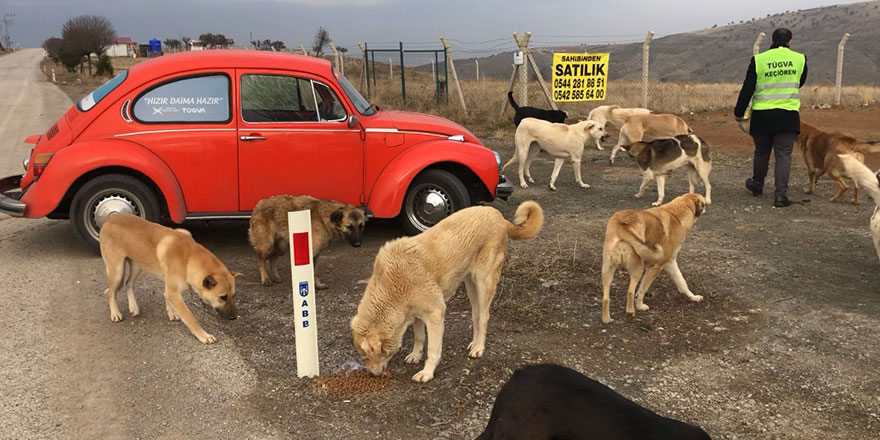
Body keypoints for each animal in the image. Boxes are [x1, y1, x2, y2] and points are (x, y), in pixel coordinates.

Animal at [99, 213, 241, 344]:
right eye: (223, 297)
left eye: (233, 296)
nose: (234, 317)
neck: (189, 257)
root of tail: (110, 219)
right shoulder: (174, 292)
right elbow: (191, 318)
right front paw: (203, 335)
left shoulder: (170, 288)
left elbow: (167, 298)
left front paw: (172, 313)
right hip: (117, 272)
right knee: (111, 292)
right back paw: (115, 313)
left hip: (137, 265)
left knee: (128, 284)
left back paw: (133, 307)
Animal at [350, 200, 544, 382]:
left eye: (365, 356)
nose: (372, 374)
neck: (392, 286)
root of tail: (499, 216)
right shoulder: (415, 314)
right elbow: (419, 337)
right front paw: (415, 356)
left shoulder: (435, 314)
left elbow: (433, 349)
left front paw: (427, 373)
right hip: (470, 285)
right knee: (476, 315)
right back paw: (474, 343)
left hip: (484, 282)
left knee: (484, 317)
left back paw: (479, 348)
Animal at [600, 192, 708, 324]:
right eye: (703, 203)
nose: (706, 207)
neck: (677, 214)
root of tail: (622, 225)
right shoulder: (660, 266)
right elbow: (643, 289)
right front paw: (640, 304)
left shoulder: (668, 264)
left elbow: (682, 282)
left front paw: (693, 297)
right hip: (637, 269)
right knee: (630, 291)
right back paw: (632, 311)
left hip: (607, 271)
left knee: (605, 298)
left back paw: (606, 319)